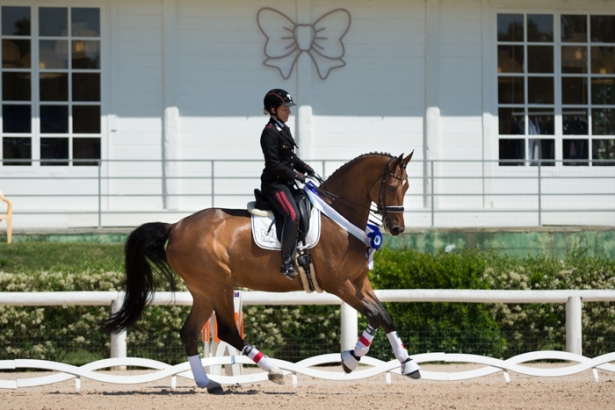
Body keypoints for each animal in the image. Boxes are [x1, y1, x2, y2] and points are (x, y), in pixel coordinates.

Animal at [102, 151, 418, 394]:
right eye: (391, 186)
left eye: (407, 187)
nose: (397, 228)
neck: (338, 216)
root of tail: (175, 226)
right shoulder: (339, 284)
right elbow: (374, 315)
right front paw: (350, 360)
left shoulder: (358, 281)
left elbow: (384, 316)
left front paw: (409, 365)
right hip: (220, 286)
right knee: (228, 331)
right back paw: (274, 370)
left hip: (204, 291)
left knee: (190, 333)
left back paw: (208, 382)